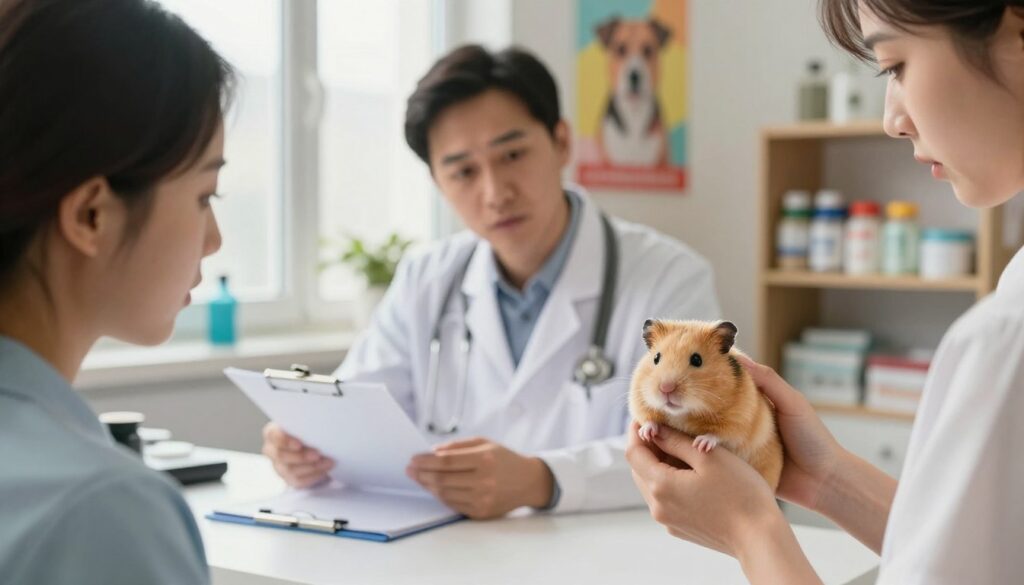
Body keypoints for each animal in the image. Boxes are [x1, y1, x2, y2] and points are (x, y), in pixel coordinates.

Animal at [628, 319, 783, 490]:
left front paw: (701, 444)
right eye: (656, 358)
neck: (682, 414)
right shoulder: (638, 400)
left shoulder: (740, 418)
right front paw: (646, 433)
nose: (666, 388)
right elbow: (647, 419)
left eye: (697, 360)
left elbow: (721, 434)